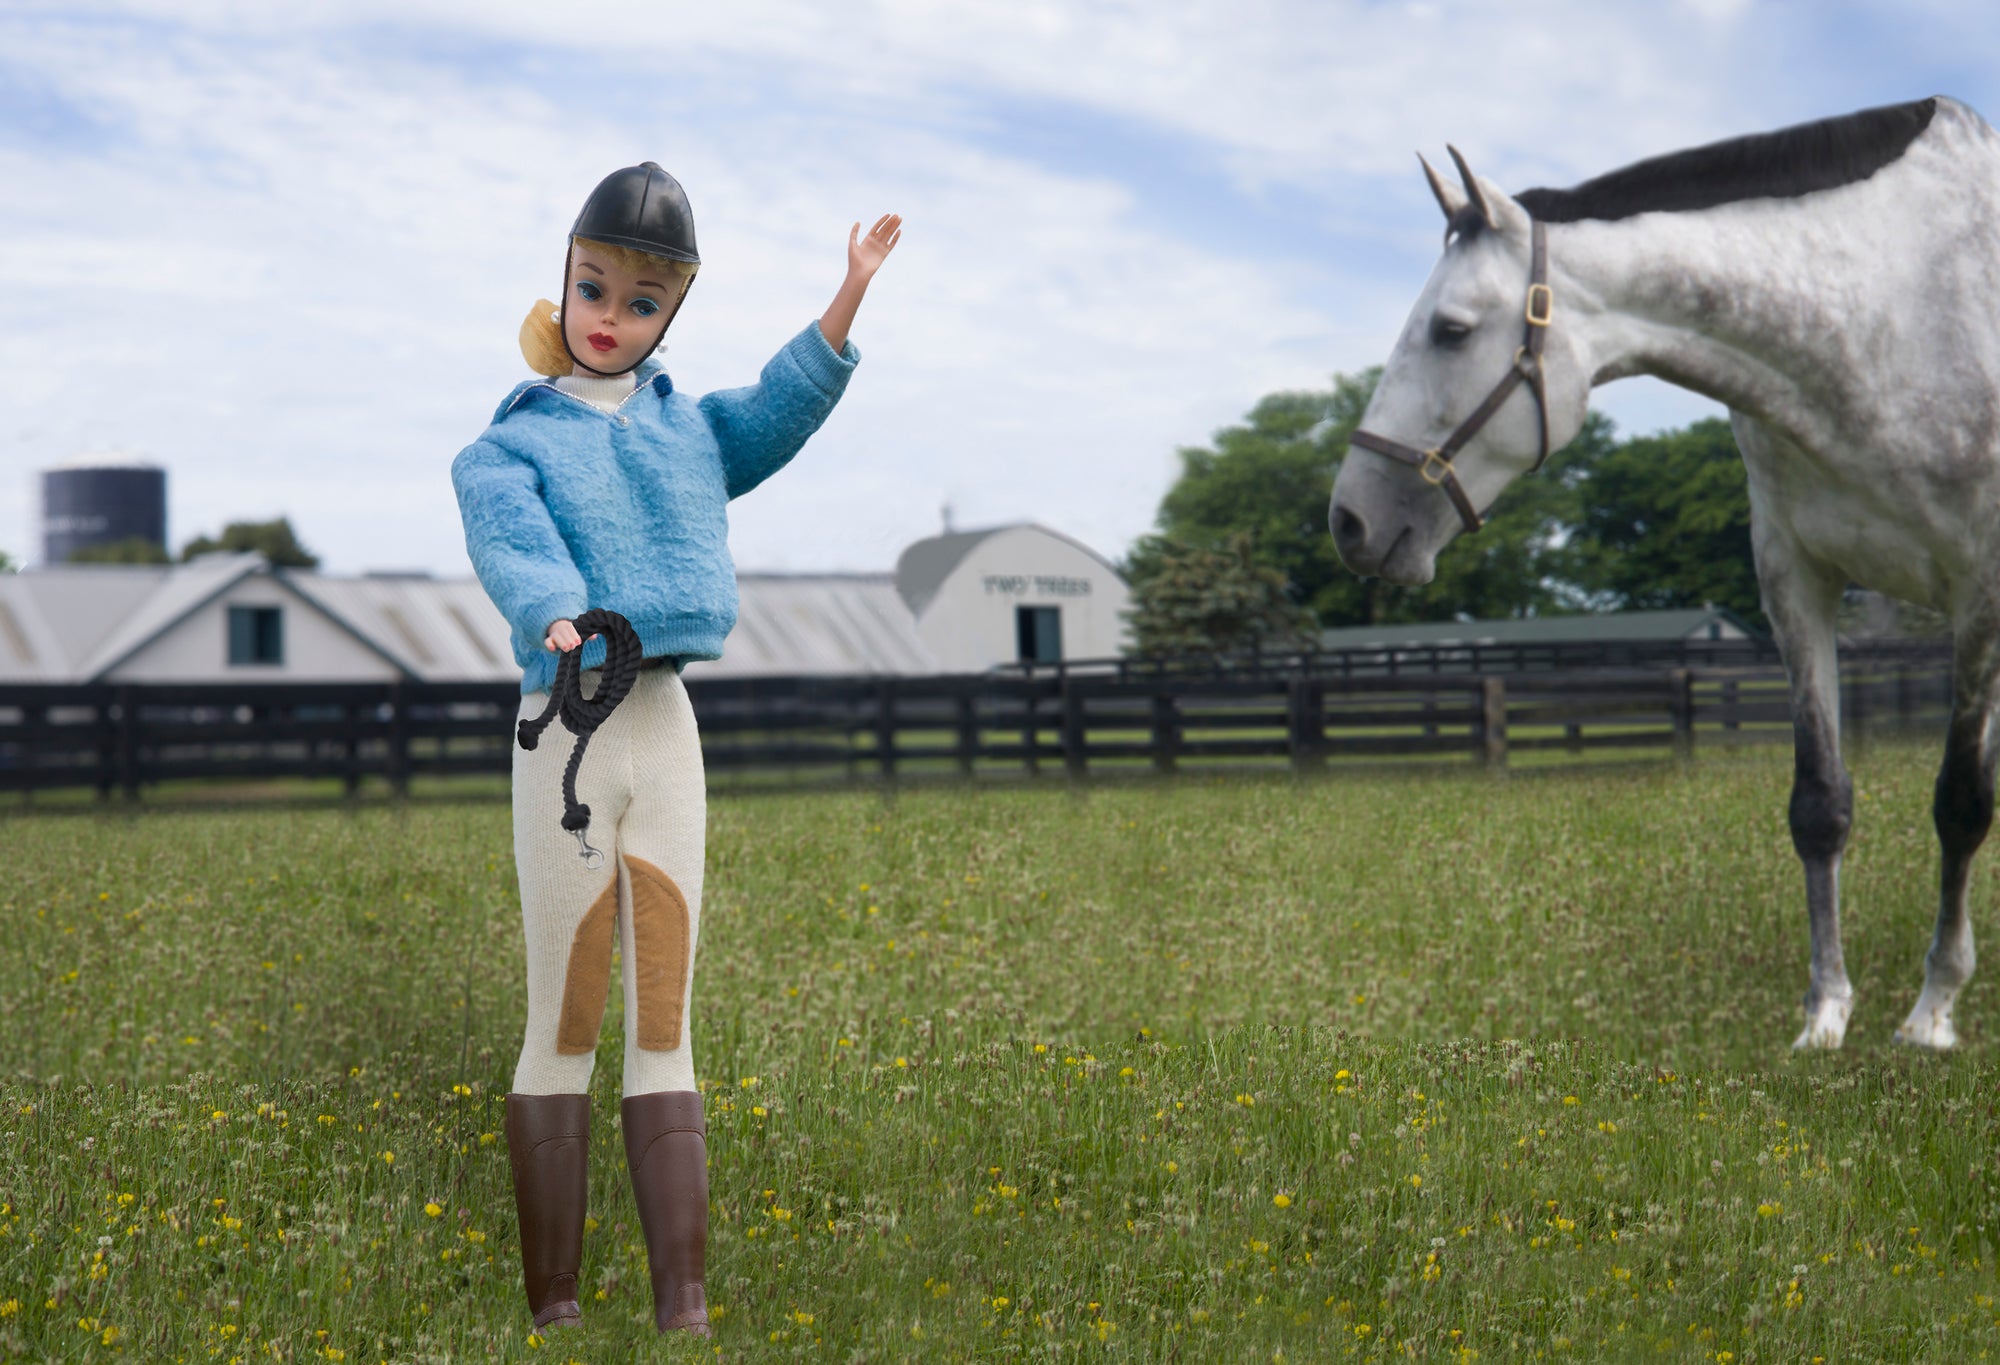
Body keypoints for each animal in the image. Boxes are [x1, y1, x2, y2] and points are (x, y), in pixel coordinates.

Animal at [1328, 98, 2000, 1048]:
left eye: (1450, 330)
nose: (1349, 520)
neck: (1899, 307)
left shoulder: (1980, 595)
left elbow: (1961, 803)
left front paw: (1932, 1010)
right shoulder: (1794, 579)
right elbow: (1820, 803)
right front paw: (1825, 1014)